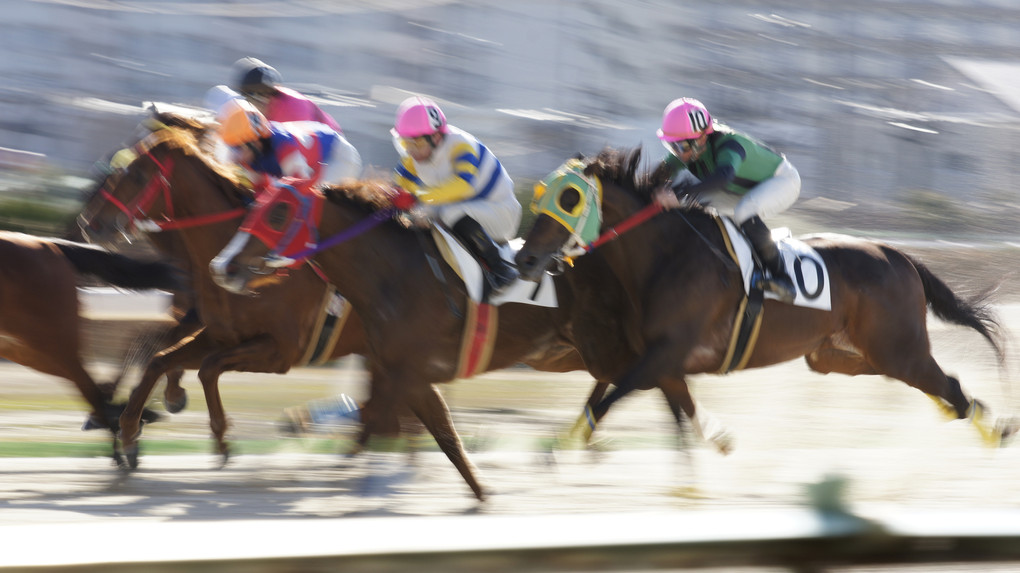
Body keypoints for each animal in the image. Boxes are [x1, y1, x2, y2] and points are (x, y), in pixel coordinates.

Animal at [77, 118, 591, 475]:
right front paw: (128, 434)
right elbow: (161, 357)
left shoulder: (280, 349)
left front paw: (218, 439)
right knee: (393, 410)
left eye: (133, 175)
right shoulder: (219, 331)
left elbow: (200, 367)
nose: (89, 224)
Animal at [207, 176, 644, 497]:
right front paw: (482, 494)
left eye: (280, 212)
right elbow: (443, 436)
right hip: (563, 353)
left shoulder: (406, 372)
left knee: (636, 373)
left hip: (591, 348)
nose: (222, 267)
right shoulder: (406, 373)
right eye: (255, 205)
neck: (395, 275)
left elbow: (381, 420)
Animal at [514, 144, 1015, 448]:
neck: (668, 254)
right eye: (543, 194)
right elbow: (653, 410)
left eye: (570, 198)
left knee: (947, 384)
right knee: (937, 383)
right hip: (842, 355)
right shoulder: (661, 362)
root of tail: (899, 255)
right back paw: (964, 415)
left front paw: (560, 449)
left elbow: (612, 397)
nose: (525, 259)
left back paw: (994, 431)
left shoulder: (664, 354)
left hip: (896, 349)